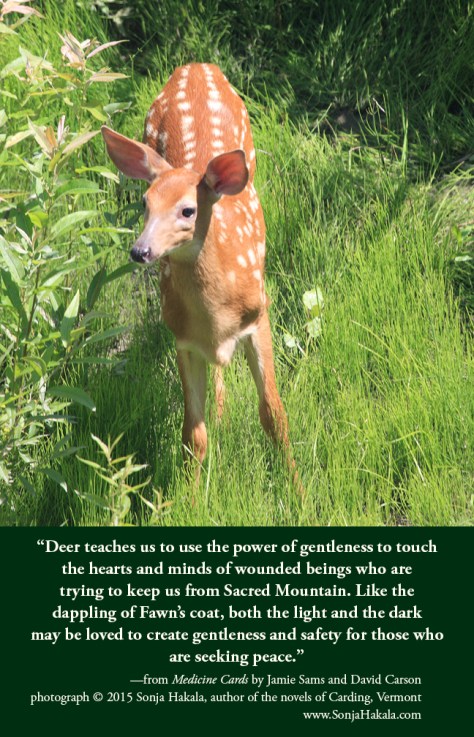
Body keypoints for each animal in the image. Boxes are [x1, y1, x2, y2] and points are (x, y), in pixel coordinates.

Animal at [101, 63, 301, 494]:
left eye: (187, 210)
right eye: (145, 203)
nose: (141, 251)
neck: (218, 315)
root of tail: (196, 66)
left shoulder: (259, 315)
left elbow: (274, 416)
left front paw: (299, 490)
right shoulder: (183, 338)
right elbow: (193, 434)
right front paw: (189, 499)